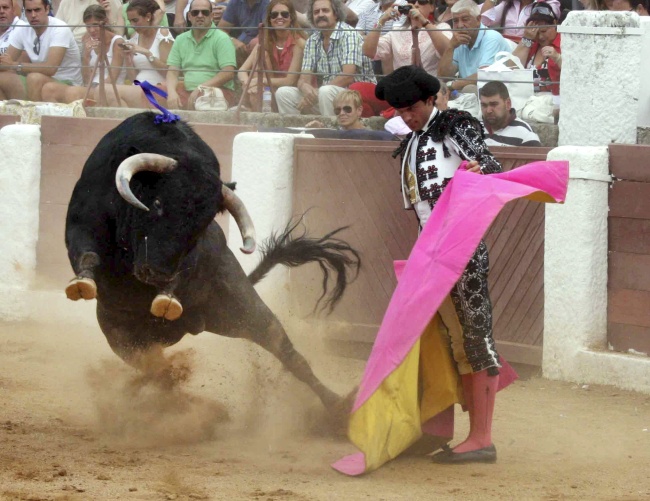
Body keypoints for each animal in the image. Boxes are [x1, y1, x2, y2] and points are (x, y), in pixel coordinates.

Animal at [64, 112, 360, 410]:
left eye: (203, 223)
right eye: (157, 203)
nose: (156, 273)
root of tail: (189, 328)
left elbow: (184, 269)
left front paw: (167, 298)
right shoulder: (82, 222)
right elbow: (87, 252)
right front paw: (82, 284)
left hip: (242, 309)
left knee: (287, 353)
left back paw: (338, 408)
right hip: (123, 338)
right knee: (157, 372)